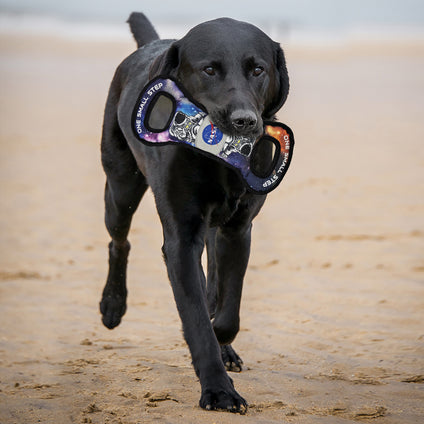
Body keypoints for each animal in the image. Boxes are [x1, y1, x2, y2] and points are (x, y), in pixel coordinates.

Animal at [100, 11, 288, 412]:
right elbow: (197, 317)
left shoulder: (238, 230)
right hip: (121, 188)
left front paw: (223, 343)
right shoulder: (181, 239)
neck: (219, 161)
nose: (245, 121)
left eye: (258, 69)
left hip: (214, 230)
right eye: (209, 70)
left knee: (213, 281)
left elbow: (227, 310)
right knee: (118, 241)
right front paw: (218, 390)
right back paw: (112, 304)